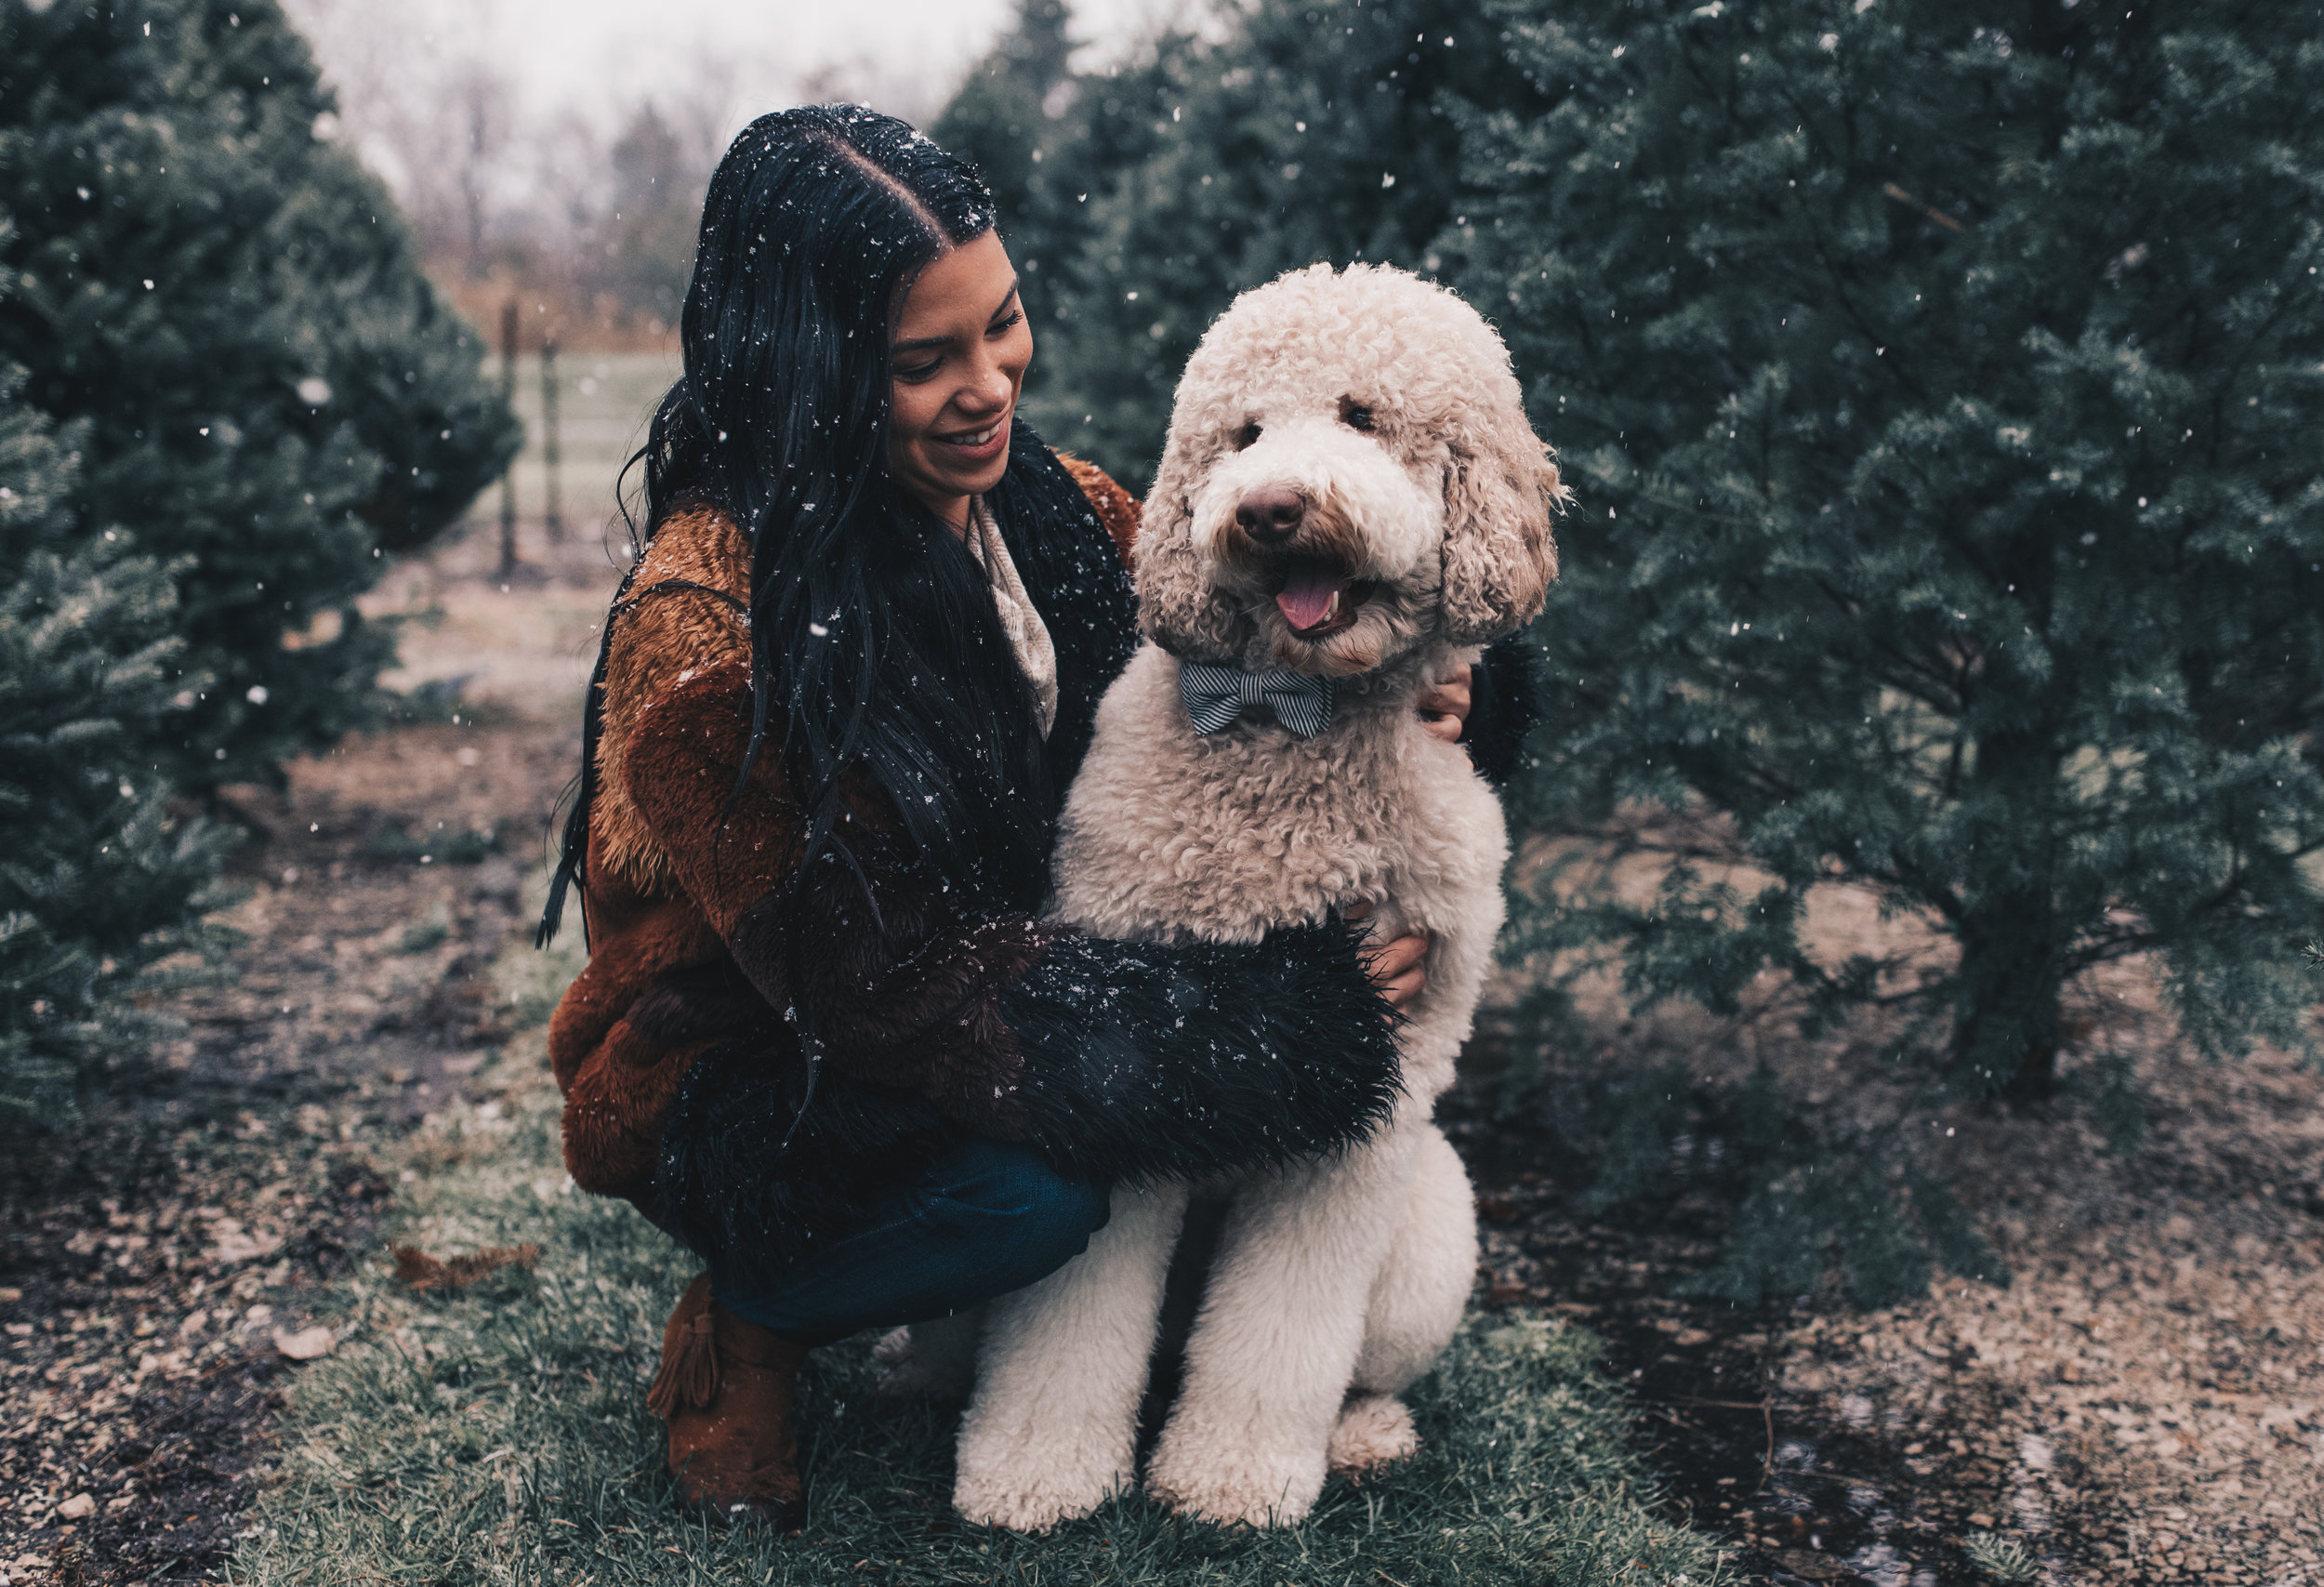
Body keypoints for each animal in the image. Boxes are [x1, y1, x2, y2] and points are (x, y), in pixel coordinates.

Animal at [888, 259, 1562, 1524]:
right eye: (1242, 433)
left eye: (1361, 415)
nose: (1268, 509)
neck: (1289, 722)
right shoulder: (1137, 1050)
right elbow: (1074, 1314)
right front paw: (1036, 1469)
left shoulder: (1374, 1096)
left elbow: (1285, 1323)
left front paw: (1231, 1481)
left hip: (1431, 1233)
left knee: (1358, 1363)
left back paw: (1363, 1434)